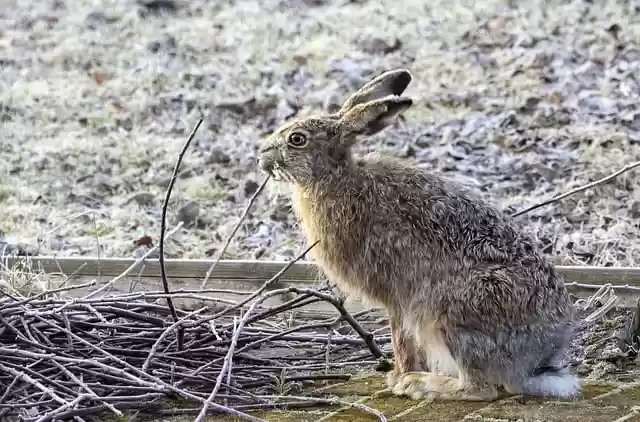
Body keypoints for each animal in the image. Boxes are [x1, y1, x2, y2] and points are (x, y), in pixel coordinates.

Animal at [257, 68, 580, 402]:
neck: (334, 177)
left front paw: (398, 379)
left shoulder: (396, 296)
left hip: (454, 316)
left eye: (297, 139)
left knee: (480, 389)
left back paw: (421, 384)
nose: (261, 156)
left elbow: (400, 337)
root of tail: (536, 362)